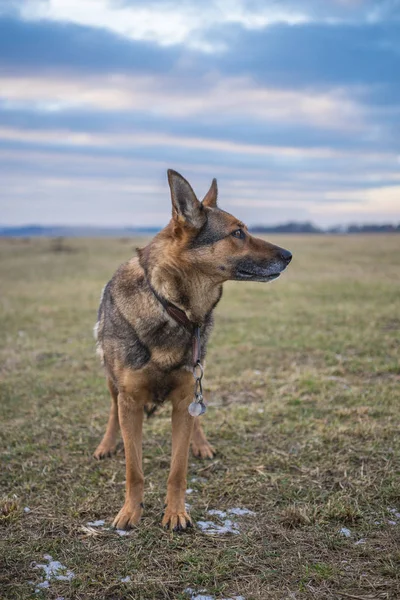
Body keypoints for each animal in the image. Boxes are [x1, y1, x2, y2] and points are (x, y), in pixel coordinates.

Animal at [94, 169, 294, 528]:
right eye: (238, 233)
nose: (288, 255)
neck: (172, 306)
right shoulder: (130, 400)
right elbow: (134, 469)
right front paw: (130, 511)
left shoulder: (185, 393)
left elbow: (178, 468)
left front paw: (175, 513)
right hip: (111, 381)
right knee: (112, 409)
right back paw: (107, 444)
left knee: (194, 417)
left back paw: (200, 444)